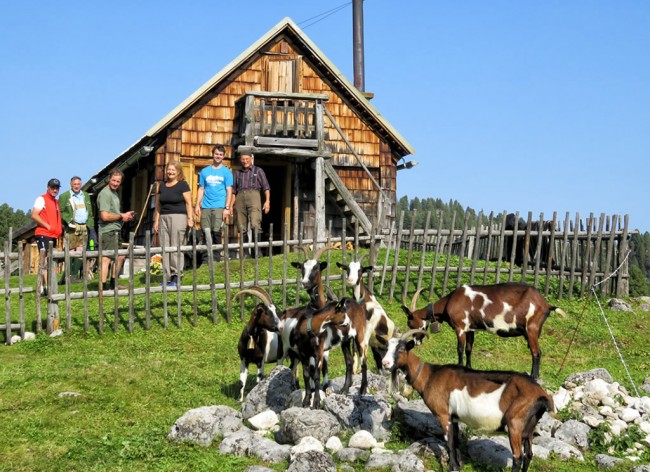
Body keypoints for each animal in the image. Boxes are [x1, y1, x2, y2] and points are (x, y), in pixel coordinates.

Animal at [382, 329, 554, 472]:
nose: (385, 363)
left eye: (401, 349)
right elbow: (456, 441)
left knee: (518, 457)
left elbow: (449, 443)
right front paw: (458, 465)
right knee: (529, 454)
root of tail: (542, 395)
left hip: (515, 424)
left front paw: (452, 467)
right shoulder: (454, 418)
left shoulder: (443, 415)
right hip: (529, 427)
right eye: (386, 349)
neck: (430, 376)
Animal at [401, 283, 567, 379]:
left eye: (410, 323)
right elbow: (469, 349)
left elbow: (460, 349)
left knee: (536, 353)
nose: (415, 342)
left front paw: (459, 367)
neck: (450, 301)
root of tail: (545, 304)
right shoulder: (470, 329)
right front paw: (468, 368)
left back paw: (534, 377)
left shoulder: (460, 327)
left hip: (531, 328)